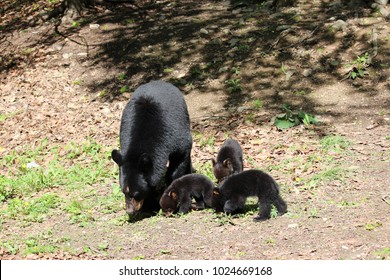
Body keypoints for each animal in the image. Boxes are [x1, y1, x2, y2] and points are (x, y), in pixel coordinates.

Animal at [112, 80, 193, 215]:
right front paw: (149, 203)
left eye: (136, 194)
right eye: (124, 192)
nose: (129, 211)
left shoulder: (174, 135)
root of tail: (159, 81)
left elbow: (180, 157)